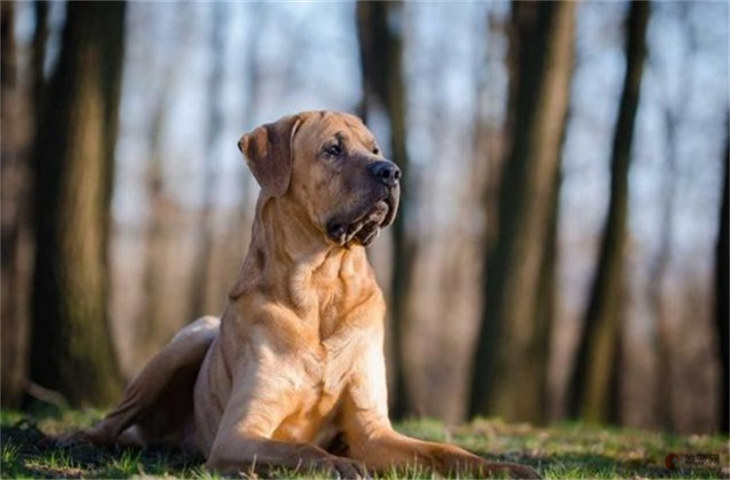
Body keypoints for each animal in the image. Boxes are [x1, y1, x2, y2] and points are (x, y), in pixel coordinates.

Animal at [75, 110, 536, 478]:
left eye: (374, 148)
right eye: (333, 149)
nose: (391, 171)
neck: (321, 285)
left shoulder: (371, 428)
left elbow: (443, 451)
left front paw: (502, 466)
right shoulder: (238, 433)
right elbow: (300, 448)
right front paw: (341, 465)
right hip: (186, 342)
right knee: (113, 418)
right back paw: (79, 439)